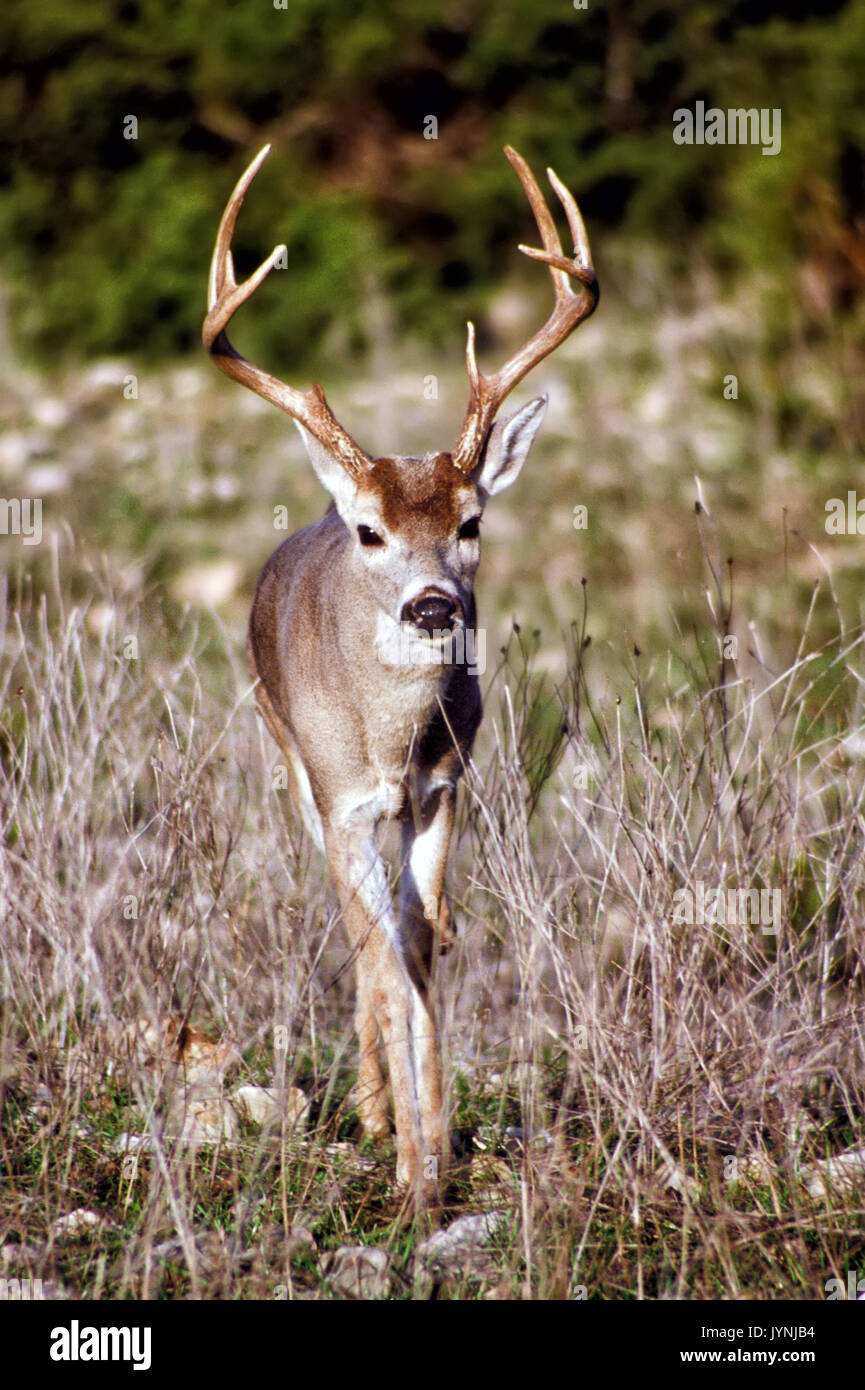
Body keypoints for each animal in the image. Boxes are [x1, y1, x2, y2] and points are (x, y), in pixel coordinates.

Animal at [204, 138, 600, 1206]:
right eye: (372, 531)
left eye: (470, 522)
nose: (432, 604)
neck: (388, 742)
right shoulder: (341, 794)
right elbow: (381, 951)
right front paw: (412, 1164)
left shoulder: (444, 787)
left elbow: (422, 943)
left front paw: (437, 1149)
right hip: (288, 760)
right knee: (351, 932)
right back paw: (373, 1112)